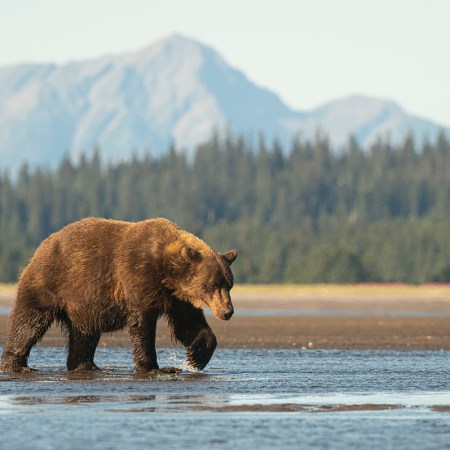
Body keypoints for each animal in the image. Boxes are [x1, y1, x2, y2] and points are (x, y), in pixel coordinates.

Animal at [0, 218, 237, 372]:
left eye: (229, 284)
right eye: (213, 284)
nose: (228, 312)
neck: (166, 271)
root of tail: (42, 245)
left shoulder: (177, 297)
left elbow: (187, 324)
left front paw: (197, 356)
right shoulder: (138, 277)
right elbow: (142, 324)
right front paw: (152, 367)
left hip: (83, 304)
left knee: (84, 334)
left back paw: (86, 365)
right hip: (50, 281)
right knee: (29, 321)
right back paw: (16, 364)